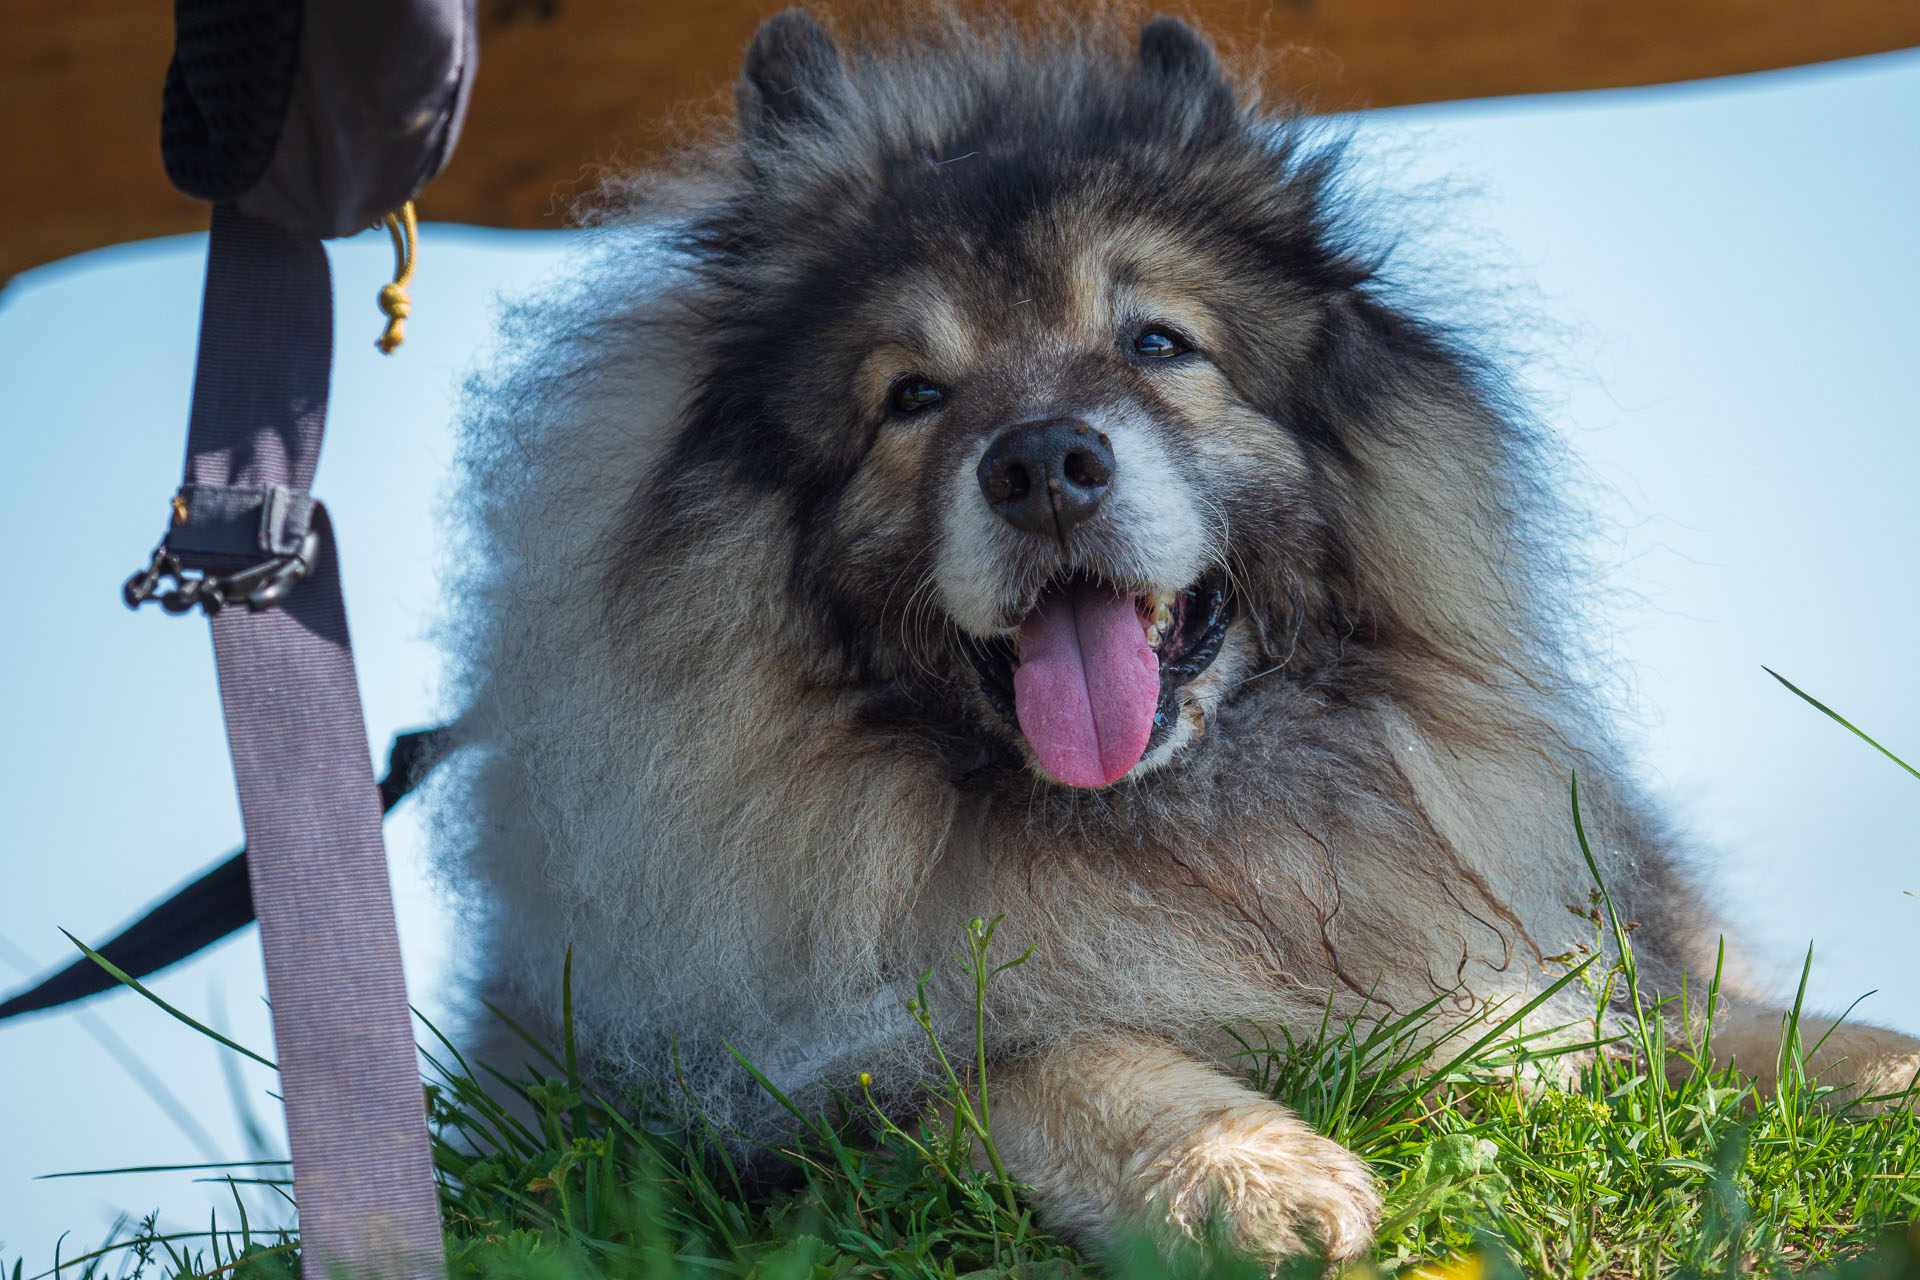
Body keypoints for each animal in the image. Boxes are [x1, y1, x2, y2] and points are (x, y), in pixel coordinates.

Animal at [439, 10, 1920, 1266]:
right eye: (912, 397)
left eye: (1158, 343)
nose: (1042, 463)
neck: (1169, 828)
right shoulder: (784, 1090)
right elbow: (1035, 1055)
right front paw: (1248, 1175)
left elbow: (1772, 1031)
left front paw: (1886, 1068)